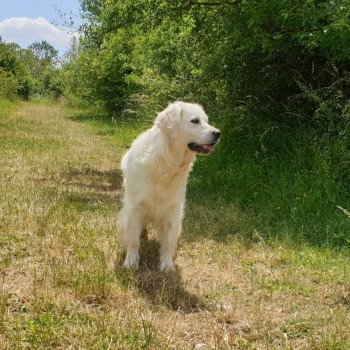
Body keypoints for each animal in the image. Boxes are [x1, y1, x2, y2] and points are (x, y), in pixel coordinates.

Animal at [119, 101, 220, 270]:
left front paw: (167, 265)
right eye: (195, 121)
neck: (165, 162)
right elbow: (133, 240)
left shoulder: (174, 209)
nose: (218, 133)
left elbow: (168, 242)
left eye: (207, 120)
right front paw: (131, 262)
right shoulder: (134, 207)